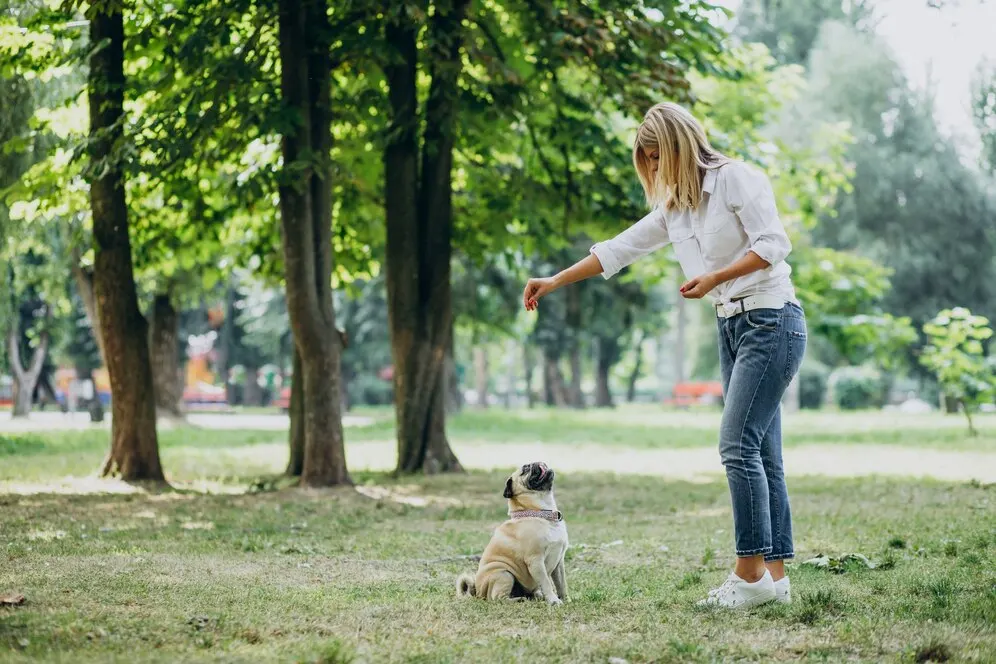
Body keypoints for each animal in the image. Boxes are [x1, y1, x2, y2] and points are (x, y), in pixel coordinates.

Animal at [458, 464, 568, 604]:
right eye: (525, 469)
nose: (536, 463)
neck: (540, 512)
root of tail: (477, 593)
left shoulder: (559, 563)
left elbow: (561, 584)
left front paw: (565, 599)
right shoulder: (536, 561)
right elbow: (547, 583)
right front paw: (553, 600)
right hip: (504, 574)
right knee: (498, 598)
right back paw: (519, 599)